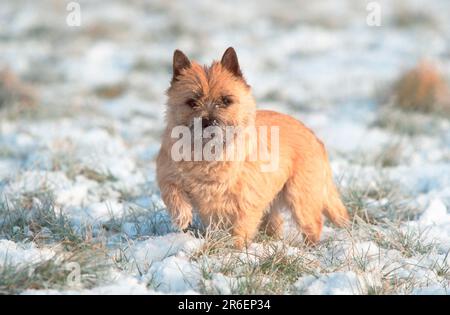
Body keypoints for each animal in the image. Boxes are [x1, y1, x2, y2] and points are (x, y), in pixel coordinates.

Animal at [156, 47, 350, 249]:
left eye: (226, 100)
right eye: (192, 101)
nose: (209, 122)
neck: (209, 154)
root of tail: (313, 136)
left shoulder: (248, 200)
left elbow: (242, 225)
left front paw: (237, 249)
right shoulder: (167, 175)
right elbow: (173, 193)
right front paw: (182, 217)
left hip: (300, 196)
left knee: (312, 224)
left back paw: (308, 248)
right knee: (276, 223)